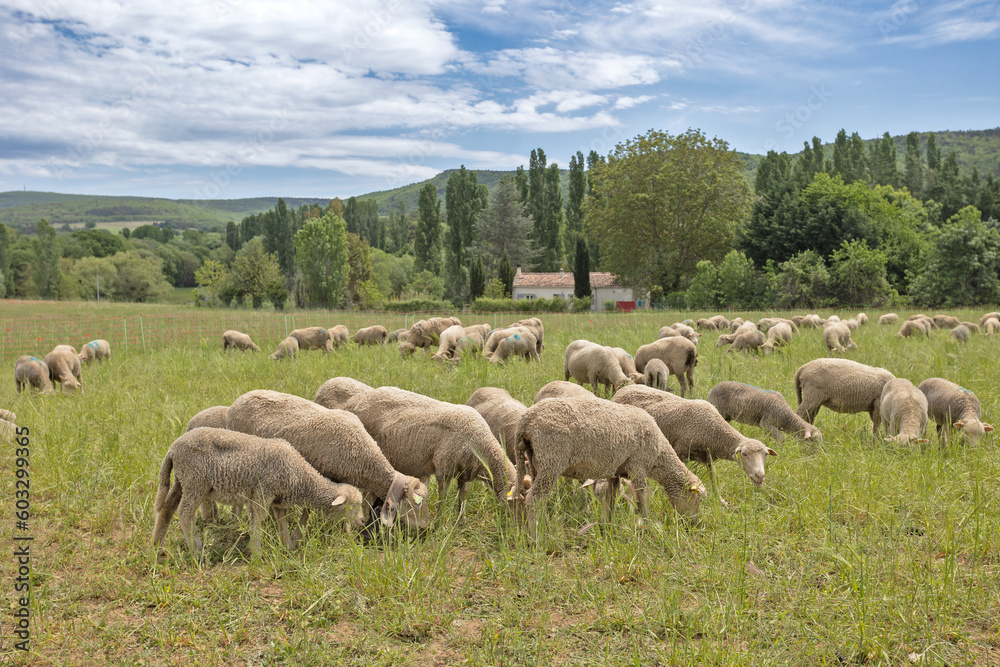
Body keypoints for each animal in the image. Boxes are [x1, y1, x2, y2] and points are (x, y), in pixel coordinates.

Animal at [152, 428, 366, 555]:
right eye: (352, 506)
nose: (363, 521)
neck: (300, 476)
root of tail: (173, 448)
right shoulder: (265, 491)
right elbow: (259, 519)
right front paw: (255, 552)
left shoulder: (279, 500)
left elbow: (282, 522)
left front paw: (287, 547)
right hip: (195, 481)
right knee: (184, 512)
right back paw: (196, 549)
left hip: (181, 481)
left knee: (167, 509)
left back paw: (156, 544)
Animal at [348, 387, 518, 511]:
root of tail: (363, 400)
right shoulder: (444, 469)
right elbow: (443, 498)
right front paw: (439, 523)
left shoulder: (464, 473)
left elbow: (462, 496)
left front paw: (461, 522)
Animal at [513, 396, 706, 534]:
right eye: (696, 498)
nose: (694, 525)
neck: (659, 456)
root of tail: (527, 418)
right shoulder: (638, 465)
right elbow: (642, 497)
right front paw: (647, 524)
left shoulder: (616, 472)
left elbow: (611, 499)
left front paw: (609, 526)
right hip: (551, 458)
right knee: (534, 498)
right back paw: (538, 536)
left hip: (536, 462)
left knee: (538, 498)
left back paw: (544, 528)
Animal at [612, 385, 777, 502]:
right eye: (744, 454)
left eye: (765, 455)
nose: (760, 476)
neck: (713, 430)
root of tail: (623, 389)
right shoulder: (680, 450)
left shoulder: (708, 457)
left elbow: (714, 480)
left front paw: (721, 501)